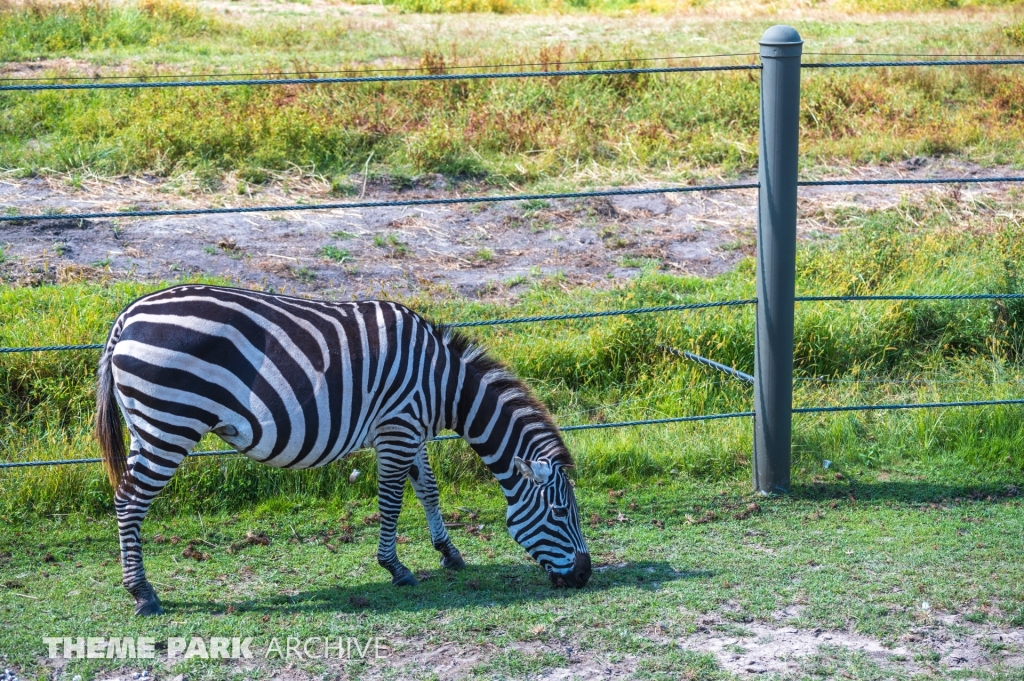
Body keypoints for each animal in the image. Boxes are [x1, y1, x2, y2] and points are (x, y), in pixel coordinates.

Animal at [97, 284, 593, 614]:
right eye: (560, 512)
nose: (585, 576)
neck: (443, 385)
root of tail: (128, 316)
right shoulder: (398, 428)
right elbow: (392, 501)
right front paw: (396, 568)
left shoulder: (409, 429)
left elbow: (428, 490)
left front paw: (449, 553)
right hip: (171, 422)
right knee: (131, 502)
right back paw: (143, 594)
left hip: (148, 425)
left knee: (126, 498)